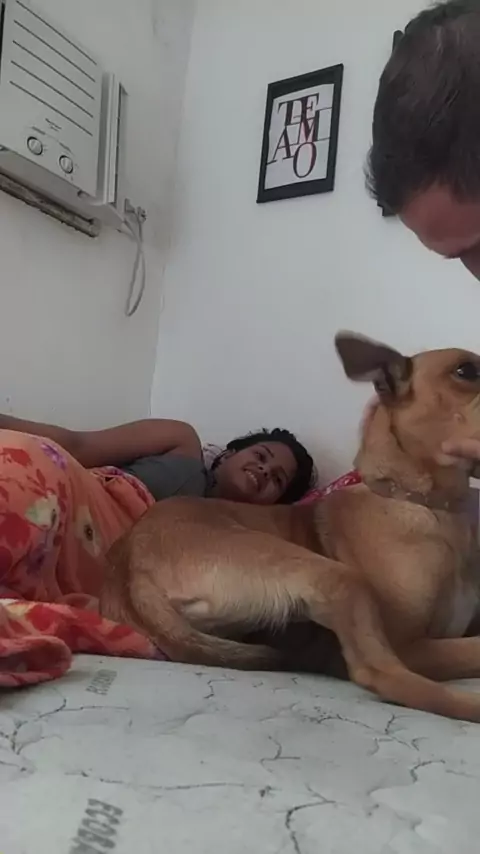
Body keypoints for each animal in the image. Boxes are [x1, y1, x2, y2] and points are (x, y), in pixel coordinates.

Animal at [100, 333, 480, 722]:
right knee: (377, 672)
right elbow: (471, 650)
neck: (430, 507)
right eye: (465, 371)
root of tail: (130, 570)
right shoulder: (407, 644)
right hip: (330, 576)